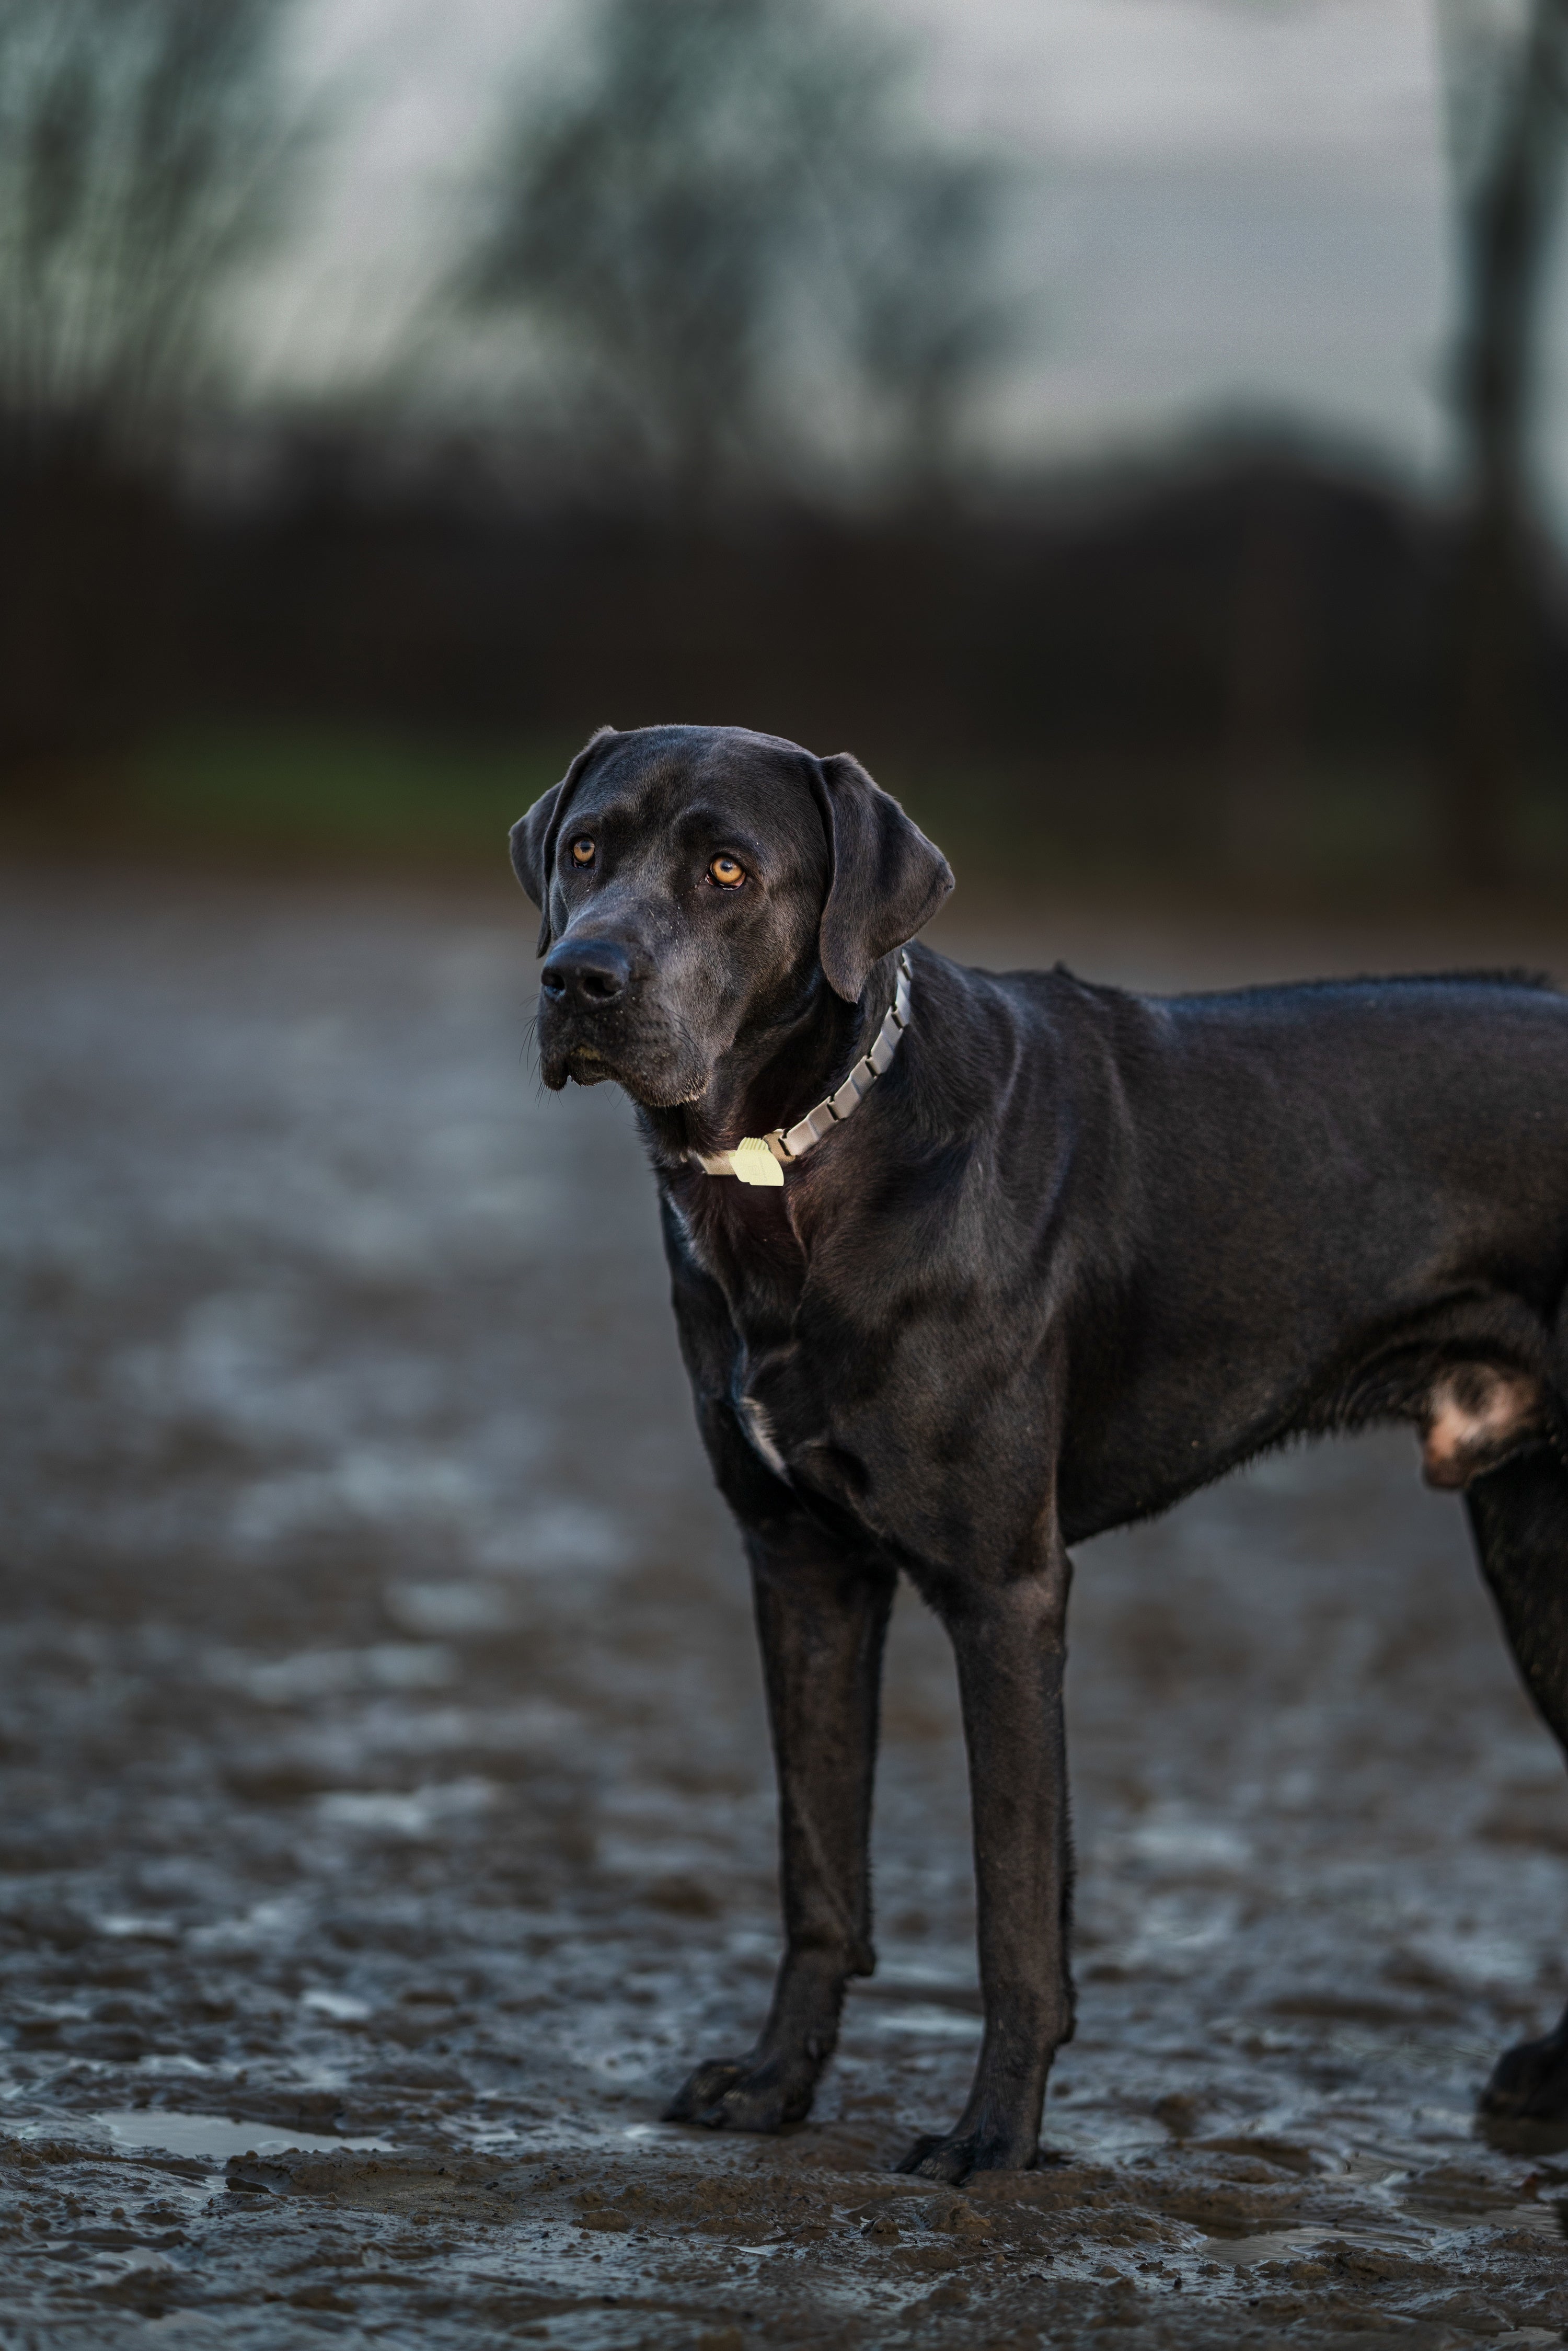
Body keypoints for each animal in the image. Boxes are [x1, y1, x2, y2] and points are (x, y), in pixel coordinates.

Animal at [515, 719, 1568, 2182]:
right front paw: (775, 2083)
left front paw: (991, 2136)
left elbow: (1014, 1901)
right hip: (1532, 1547)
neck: (794, 1168)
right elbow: (816, 1866)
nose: (579, 975)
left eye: (727, 867)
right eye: (583, 849)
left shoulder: (1005, 1592)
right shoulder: (801, 1569)